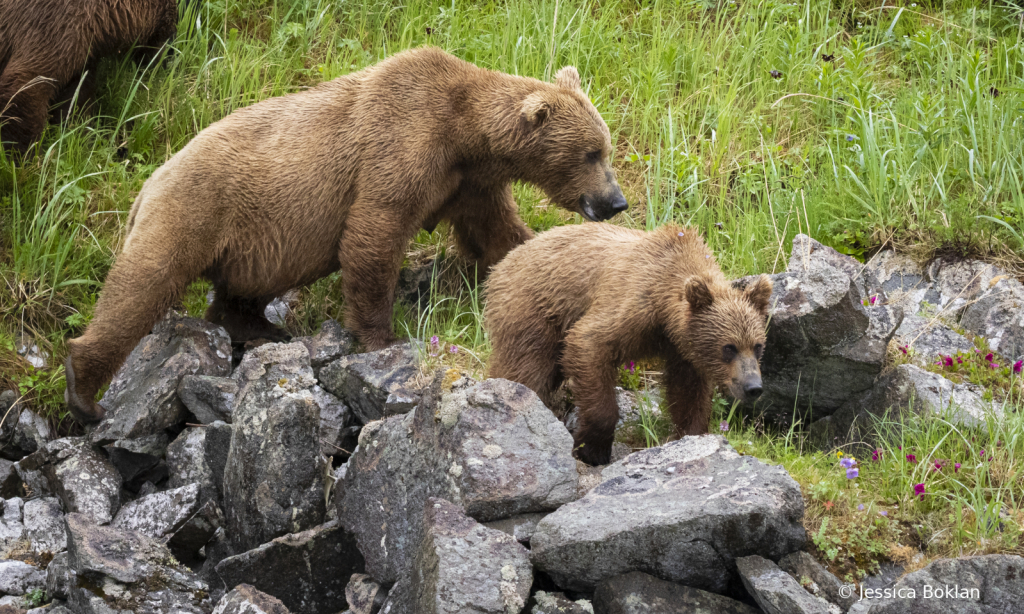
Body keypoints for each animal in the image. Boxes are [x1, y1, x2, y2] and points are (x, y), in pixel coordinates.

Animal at [0, 0, 180, 153]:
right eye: (168, 27)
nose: (170, 57)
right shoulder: (54, 26)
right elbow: (24, 88)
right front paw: (26, 157)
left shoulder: (82, 55)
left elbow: (75, 100)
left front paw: (81, 138)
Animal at [64, 45, 626, 427]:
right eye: (592, 153)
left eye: (605, 148)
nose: (616, 202)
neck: (466, 134)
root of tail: (148, 183)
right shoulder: (401, 146)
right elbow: (373, 233)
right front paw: (383, 337)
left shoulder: (467, 183)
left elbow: (499, 235)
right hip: (197, 211)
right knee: (143, 283)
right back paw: (84, 388)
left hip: (249, 240)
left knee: (239, 291)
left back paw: (260, 328)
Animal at [481, 223, 770, 468]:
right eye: (729, 347)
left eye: (757, 346)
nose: (753, 387)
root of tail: (503, 263)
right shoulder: (632, 301)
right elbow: (588, 343)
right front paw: (592, 449)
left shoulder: (682, 347)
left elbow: (689, 392)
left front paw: (691, 434)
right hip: (534, 308)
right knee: (526, 369)